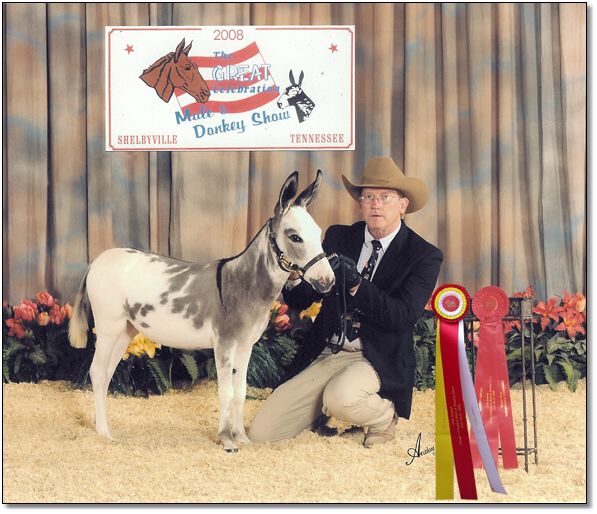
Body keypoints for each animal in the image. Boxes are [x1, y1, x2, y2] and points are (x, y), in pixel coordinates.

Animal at [68, 171, 335, 452]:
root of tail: (97, 261)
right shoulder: (224, 344)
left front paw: (243, 438)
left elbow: (240, 393)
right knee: (97, 372)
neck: (244, 283)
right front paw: (227, 441)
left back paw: (102, 427)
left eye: (318, 232)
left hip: (125, 331)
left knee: (106, 375)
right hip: (108, 327)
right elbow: (225, 392)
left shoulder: (246, 346)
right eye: (295, 237)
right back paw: (104, 434)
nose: (328, 281)